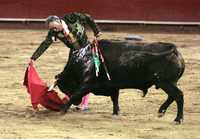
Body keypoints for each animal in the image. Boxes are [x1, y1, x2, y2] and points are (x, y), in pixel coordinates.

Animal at [55, 39, 184, 124]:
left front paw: (62, 110)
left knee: (178, 95)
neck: (85, 60)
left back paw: (178, 119)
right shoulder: (113, 85)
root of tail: (175, 50)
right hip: (169, 82)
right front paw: (115, 113)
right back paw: (161, 111)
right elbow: (115, 98)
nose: (77, 104)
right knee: (172, 96)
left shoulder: (88, 83)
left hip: (165, 82)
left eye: (65, 87)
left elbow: (76, 94)